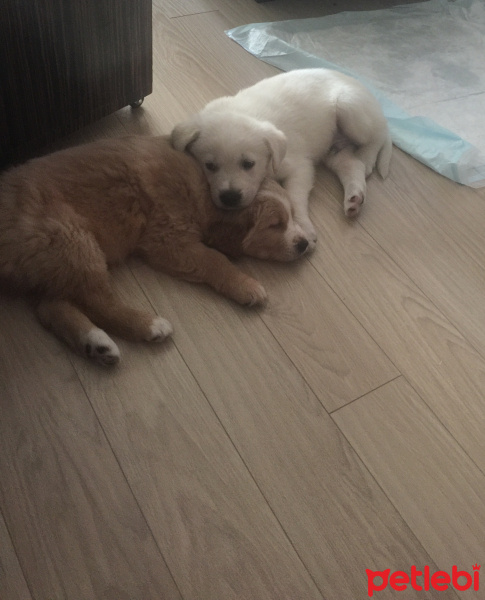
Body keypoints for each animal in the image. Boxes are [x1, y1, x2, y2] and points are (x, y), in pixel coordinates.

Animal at [0, 134, 308, 364]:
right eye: (276, 225)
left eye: (292, 216)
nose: (304, 243)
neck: (204, 188)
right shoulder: (168, 240)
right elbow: (215, 260)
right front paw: (247, 286)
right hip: (72, 241)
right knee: (98, 302)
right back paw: (149, 326)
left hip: (54, 260)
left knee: (51, 307)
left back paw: (96, 344)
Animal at [172, 65, 392, 244]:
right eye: (209, 166)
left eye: (248, 163)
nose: (230, 198)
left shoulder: (299, 167)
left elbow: (294, 197)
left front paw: (302, 225)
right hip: (333, 150)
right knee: (351, 165)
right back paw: (354, 198)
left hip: (351, 110)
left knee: (378, 135)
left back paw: (368, 157)